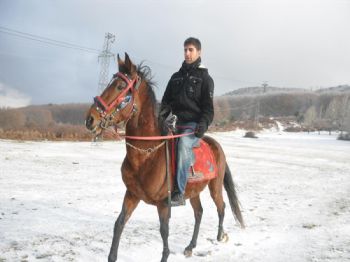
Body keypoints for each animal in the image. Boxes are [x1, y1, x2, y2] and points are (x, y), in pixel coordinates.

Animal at [85, 53, 243, 262]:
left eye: (120, 86)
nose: (90, 119)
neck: (147, 155)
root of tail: (214, 143)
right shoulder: (132, 194)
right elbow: (119, 223)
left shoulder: (163, 203)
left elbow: (164, 230)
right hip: (194, 190)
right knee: (199, 213)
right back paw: (190, 246)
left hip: (214, 186)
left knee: (221, 206)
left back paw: (220, 236)